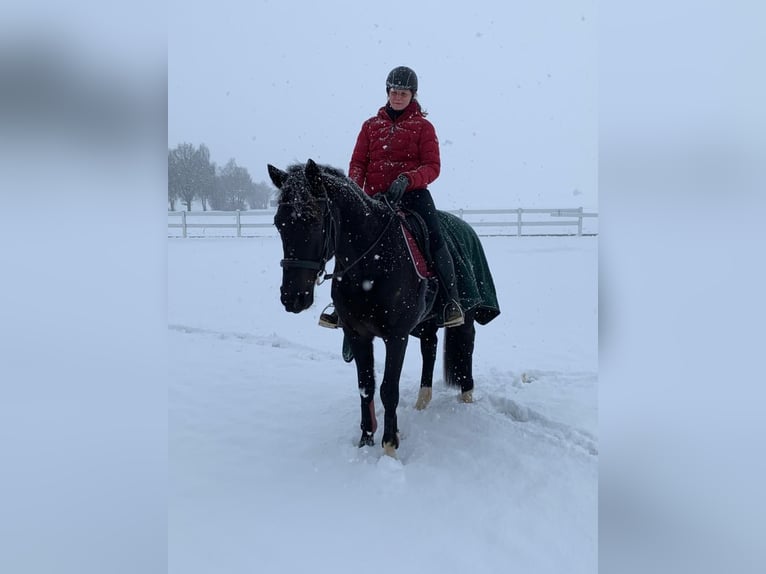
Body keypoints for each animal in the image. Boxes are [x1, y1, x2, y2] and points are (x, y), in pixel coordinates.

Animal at [268, 160, 500, 456]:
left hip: (466, 316)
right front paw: (365, 440)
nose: (292, 298)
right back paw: (422, 401)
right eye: (279, 224)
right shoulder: (357, 335)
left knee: (466, 348)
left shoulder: (396, 336)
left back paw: (467, 398)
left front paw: (389, 446)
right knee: (430, 348)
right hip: (425, 323)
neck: (371, 263)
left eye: (313, 219)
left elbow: (389, 389)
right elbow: (365, 386)